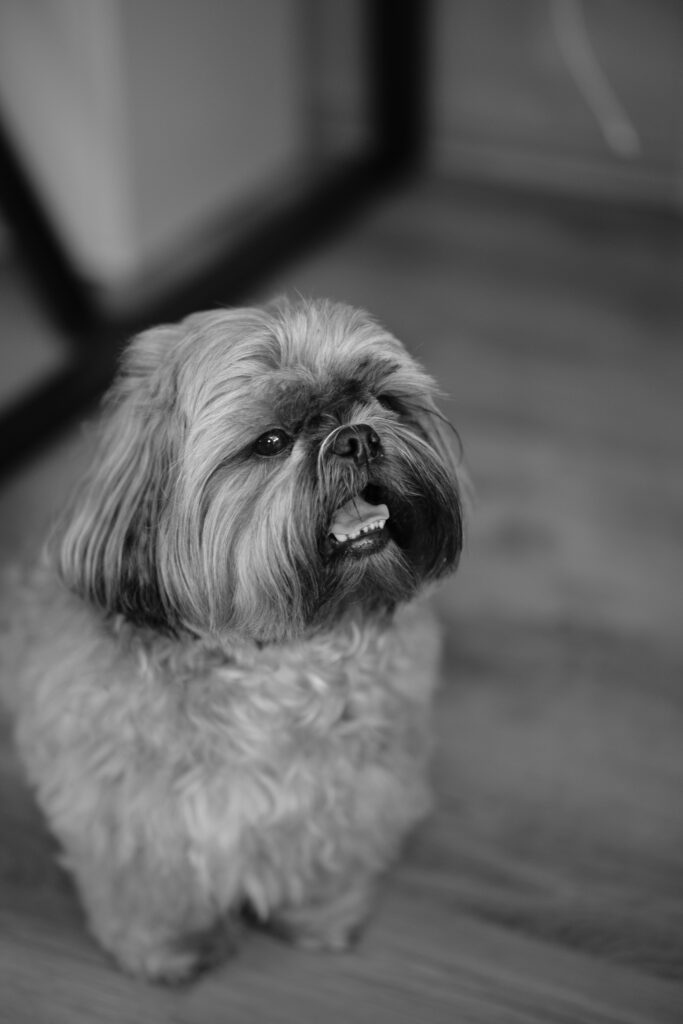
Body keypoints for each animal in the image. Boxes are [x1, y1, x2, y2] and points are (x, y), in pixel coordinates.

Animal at [3, 299, 464, 983]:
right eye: (270, 442)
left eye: (381, 400)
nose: (357, 437)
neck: (277, 656)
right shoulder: (128, 816)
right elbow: (150, 889)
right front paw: (171, 951)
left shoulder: (356, 794)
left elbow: (330, 862)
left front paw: (323, 921)